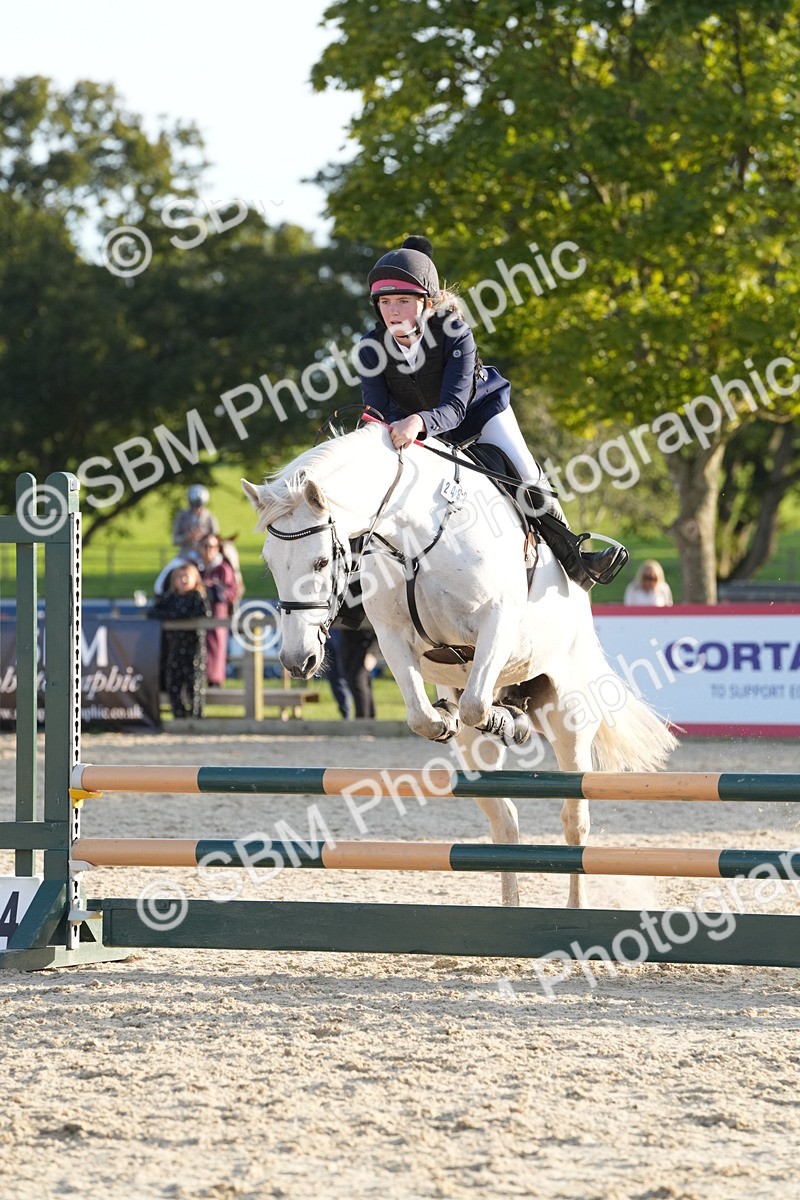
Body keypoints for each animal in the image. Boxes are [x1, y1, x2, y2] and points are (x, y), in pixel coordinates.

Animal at [243, 421, 678, 907]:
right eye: (269, 562)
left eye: (321, 561)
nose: (297, 660)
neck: (413, 533)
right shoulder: (392, 636)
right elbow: (424, 716)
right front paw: (451, 717)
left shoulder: (497, 620)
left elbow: (473, 705)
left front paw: (507, 722)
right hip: (486, 741)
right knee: (504, 818)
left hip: (569, 710)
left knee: (574, 818)